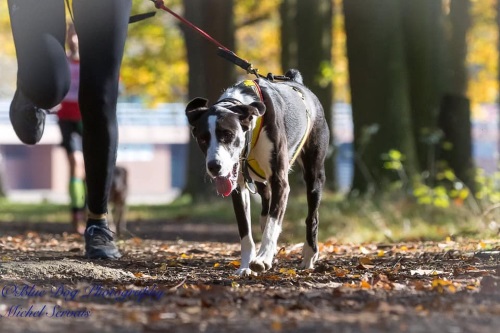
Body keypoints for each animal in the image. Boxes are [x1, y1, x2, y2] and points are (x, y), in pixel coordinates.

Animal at [184, 68, 328, 274]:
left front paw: (263, 258)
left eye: (228, 135)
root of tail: (298, 83)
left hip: (314, 174)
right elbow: (245, 231)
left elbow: (273, 223)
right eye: (203, 138)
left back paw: (308, 255)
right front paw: (246, 266)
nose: (214, 166)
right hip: (261, 183)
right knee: (265, 209)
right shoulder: (238, 186)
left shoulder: (279, 182)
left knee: (311, 217)